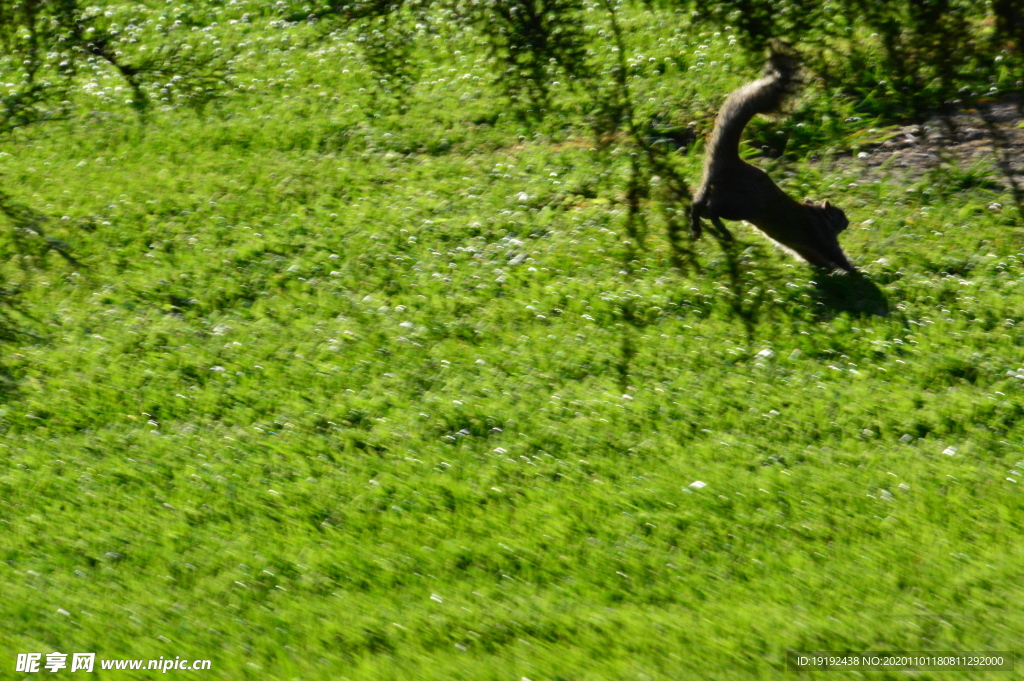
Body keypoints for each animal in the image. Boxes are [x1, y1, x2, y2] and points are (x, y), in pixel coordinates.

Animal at [688, 51, 856, 272]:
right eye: (840, 214)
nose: (848, 222)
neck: (817, 216)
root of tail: (729, 161)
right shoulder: (823, 238)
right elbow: (837, 256)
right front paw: (854, 273)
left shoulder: (804, 248)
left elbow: (815, 258)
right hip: (740, 205)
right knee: (712, 209)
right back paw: (721, 230)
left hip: (710, 190)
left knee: (696, 204)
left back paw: (697, 228)